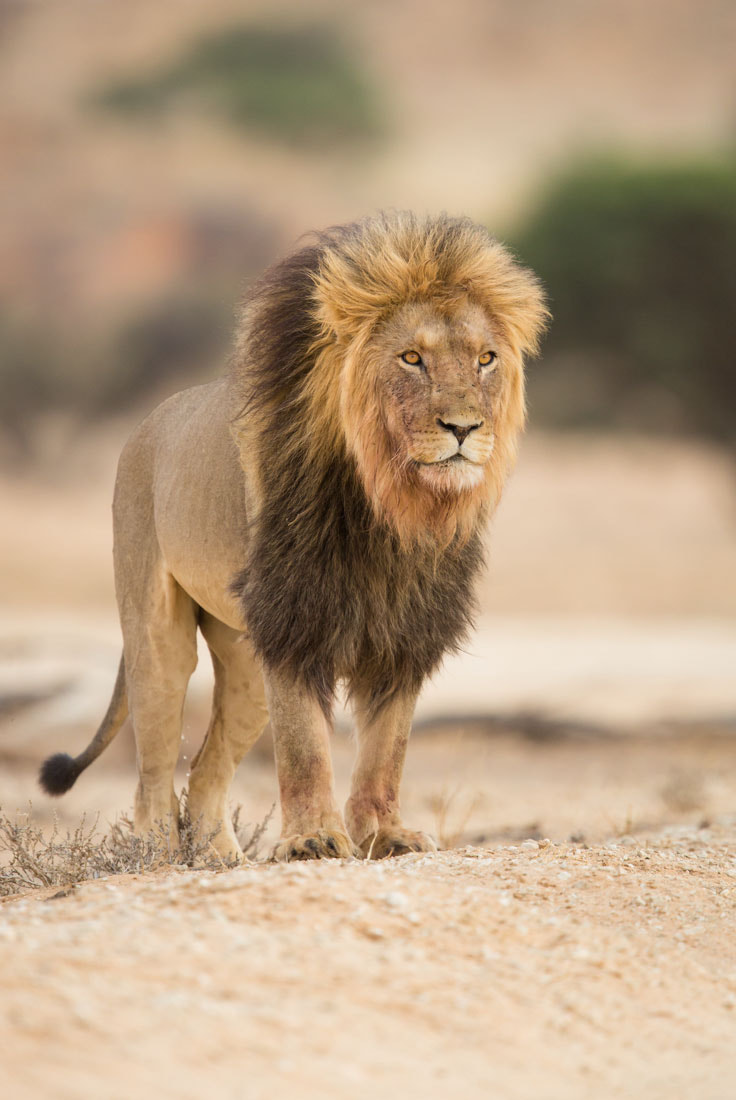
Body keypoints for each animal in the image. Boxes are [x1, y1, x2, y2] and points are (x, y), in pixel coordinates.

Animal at [40, 207, 545, 858]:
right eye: (412, 358)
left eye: (485, 359)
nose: (464, 428)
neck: (389, 508)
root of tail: (148, 423)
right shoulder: (293, 619)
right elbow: (304, 746)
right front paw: (313, 840)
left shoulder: (407, 628)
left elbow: (388, 748)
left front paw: (384, 834)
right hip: (159, 637)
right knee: (153, 773)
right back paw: (160, 854)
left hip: (244, 659)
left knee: (206, 771)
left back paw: (221, 861)